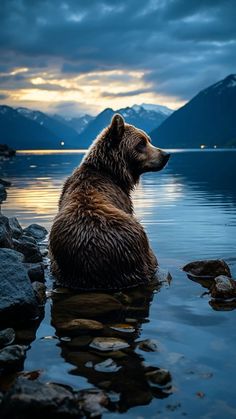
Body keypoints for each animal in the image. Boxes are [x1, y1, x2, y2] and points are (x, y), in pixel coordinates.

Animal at [49, 115, 170, 292]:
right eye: (140, 143)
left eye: (148, 140)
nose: (166, 154)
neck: (111, 172)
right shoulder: (124, 201)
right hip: (137, 245)